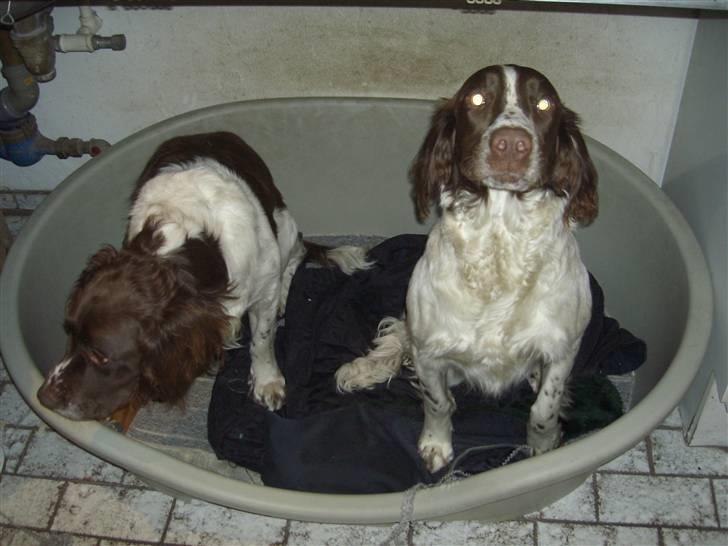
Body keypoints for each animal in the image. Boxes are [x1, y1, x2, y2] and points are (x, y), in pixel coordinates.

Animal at [37, 130, 370, 428]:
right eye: (68, 331)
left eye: (101, 356)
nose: (44, 397)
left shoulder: (263, 290)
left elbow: (262, 341)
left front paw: (267, 381)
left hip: (285, 227)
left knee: (295, 257)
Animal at [336, 65, 596, 472]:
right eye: (477, 99)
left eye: (544, 104)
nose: (511, 145)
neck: (500, 244)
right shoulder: (430, 352)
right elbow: (438, 403)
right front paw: (435, 445)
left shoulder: (562, 349)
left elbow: (543, 409)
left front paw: (544, 446)